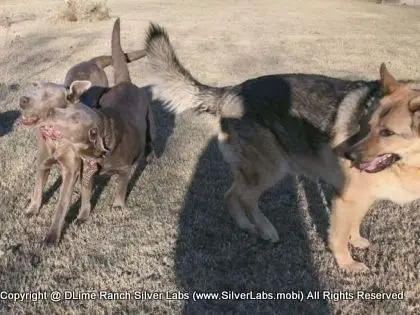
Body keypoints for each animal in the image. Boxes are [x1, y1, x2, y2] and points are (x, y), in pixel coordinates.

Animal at [142, 23, 420, 272]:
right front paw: (347, 264)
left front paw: (357, 241)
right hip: (271, 169)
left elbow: (355, 223)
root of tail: (230, 92)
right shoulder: (347, 197)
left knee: (231, 195)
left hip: (253, 170)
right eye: (366, 126)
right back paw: (266, 230)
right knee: (245, 198)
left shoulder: (361, 197)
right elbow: (339, 235)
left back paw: (247, 226)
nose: (348, 155)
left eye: (387, 133)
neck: (409, 164)